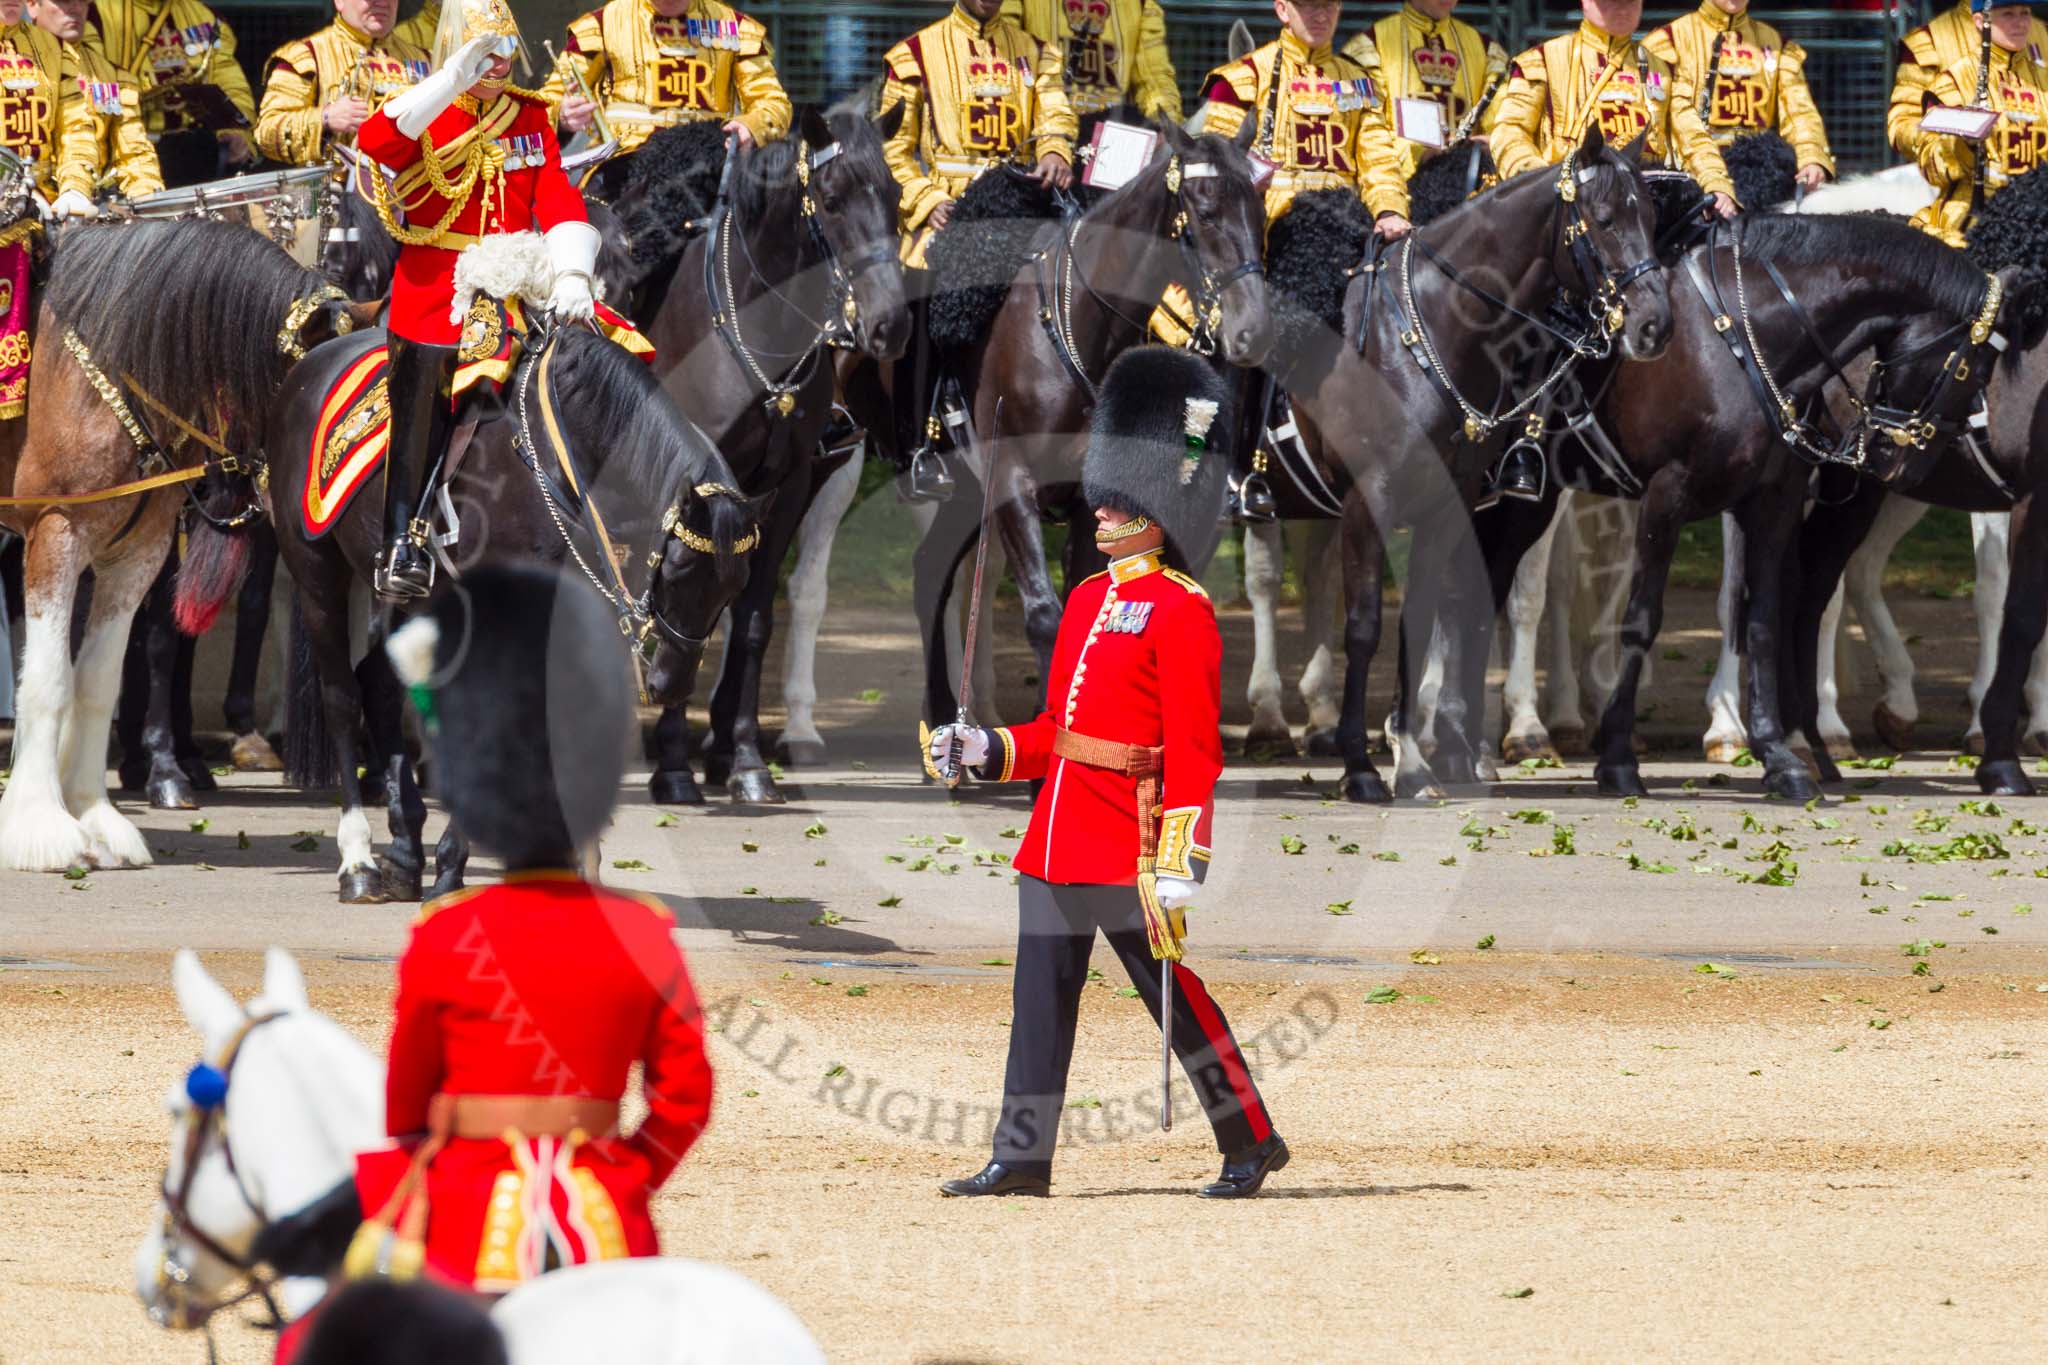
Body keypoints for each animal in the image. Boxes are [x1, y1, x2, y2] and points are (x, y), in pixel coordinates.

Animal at [0, 218, 356, 871]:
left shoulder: (137, 553)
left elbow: (96, 682)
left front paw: (94, 817)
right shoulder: (56, 530)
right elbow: (49, 680)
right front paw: (42, 826)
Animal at [268, 323, 757, 908]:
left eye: (735, 587)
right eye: (680, 570)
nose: (672, 684)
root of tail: (310, 363)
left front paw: (572, 861)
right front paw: (455, 866)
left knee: (379, 689)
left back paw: (406, 854)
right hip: (316, 570)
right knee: (341, 698)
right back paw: (358, 861)